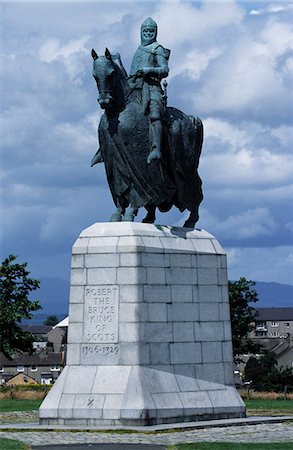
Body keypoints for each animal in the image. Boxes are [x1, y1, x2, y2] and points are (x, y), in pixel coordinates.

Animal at [90, 48, 202, 229]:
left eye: (111, 74)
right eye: (94, 75)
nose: (104, 101)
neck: (119, 111)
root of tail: (190, 118)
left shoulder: (137, 162)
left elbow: (138, 188)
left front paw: (130, 213)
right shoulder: (112, 160)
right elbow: (120, 188)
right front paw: (117, 214)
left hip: (187, 165)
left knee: (195, 187)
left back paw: (191, 221)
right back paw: (149, 218)